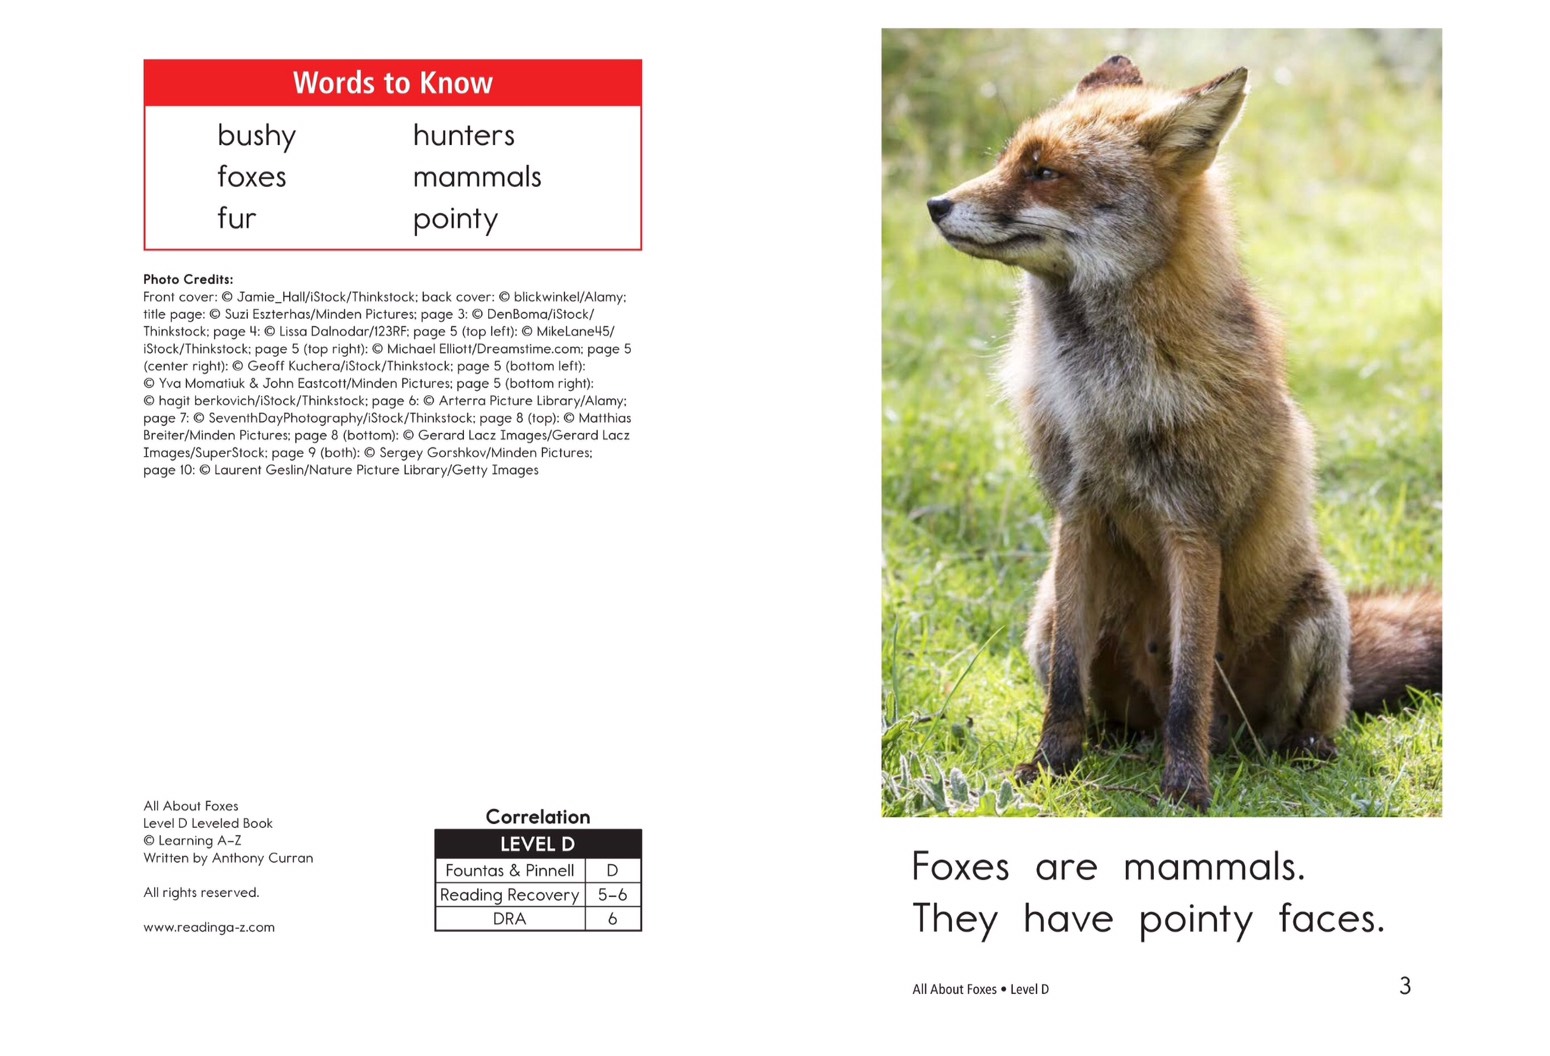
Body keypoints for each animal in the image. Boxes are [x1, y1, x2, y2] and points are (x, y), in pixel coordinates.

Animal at [926, 55, 1441, 810]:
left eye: (1044, 172)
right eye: (1008, 160)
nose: (935, 204)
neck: (1108, 395)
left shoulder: (1193, 525)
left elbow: (1189, 686)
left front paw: (1187, 789)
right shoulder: (1075, 514)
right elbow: (1065, 688)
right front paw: (1050, 765)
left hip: (1318, 620)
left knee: (1300, 721)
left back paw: (1298, 754)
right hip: (1045, 616)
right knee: (1104, 699)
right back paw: (1113, 744)